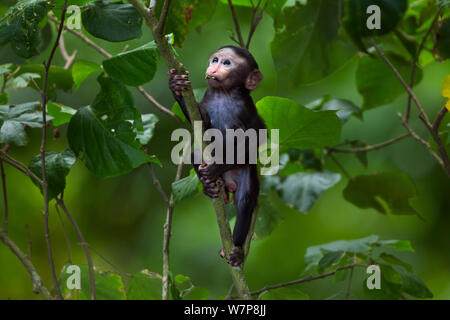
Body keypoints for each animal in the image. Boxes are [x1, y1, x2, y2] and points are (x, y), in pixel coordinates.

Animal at [171, 44, 266, 264]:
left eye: (227, 63)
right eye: (215, 60)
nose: (213, 68)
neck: (224, 94)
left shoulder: (247, 107)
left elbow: (255, 137)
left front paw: (216, 168)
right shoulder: (208, 97)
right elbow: (201, 124)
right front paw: (176, 86)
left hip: (245, 172)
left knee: (245, 201)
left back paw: (236, 249)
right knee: (196, 153)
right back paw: (211, 188)